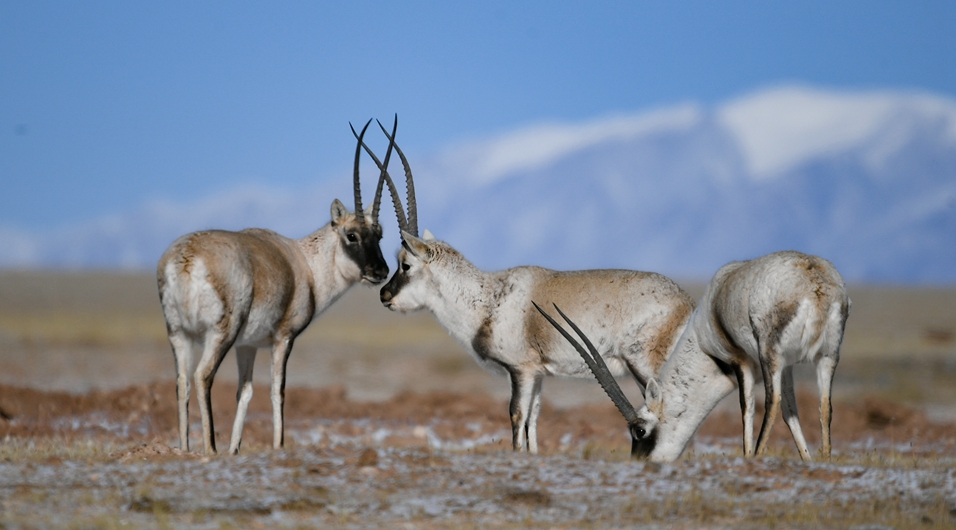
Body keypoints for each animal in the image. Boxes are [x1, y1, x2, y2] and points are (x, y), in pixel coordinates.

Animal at [156, 119, 408, 454]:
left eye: (379, 234)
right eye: (351, 235)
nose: (379, 271)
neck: (305, 263)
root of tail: (186, 257)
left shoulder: (247, 345)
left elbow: (245, 392)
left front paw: (235, 449)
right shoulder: (283, 338)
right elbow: (278, 391)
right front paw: (278, 445)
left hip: (179, 334)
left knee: (182, 381)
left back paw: (184, 449)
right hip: (219, 334)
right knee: (203, 376)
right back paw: (210, 449)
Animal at [536, 250, 852, 460]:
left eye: (640, 431)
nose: (639, 463)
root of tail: (815, 280)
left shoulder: (740, 362)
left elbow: (747, 407)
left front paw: (749, 458)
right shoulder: (787, 366)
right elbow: (791, 411)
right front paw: (807, 461)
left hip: (770, 353)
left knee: (771, 403)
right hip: (827, 355)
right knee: (825, 405)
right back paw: (825, 461)